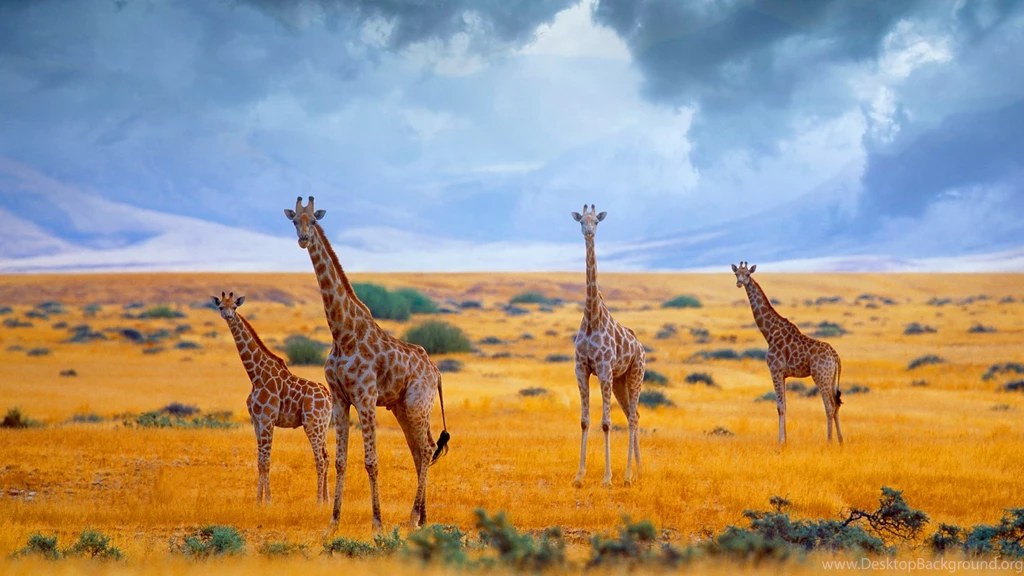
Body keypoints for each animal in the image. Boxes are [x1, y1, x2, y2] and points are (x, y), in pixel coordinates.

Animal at [211, 291, 332, 504]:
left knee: (320, 459)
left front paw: (268, 501)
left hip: (312, 424)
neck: (255, 375)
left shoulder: (268, 419)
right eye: (220, 306)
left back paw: (319, 502)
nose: (228, 315)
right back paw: (326, 501)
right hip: (322, 425)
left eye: (234, 306)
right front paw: (258, 501)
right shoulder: (256, 421)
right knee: (326, 457)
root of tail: (327, 396)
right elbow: (259, 461)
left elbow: (267, 461)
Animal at [284, 196, 450, 531]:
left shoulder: (366, 396)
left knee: (426, 448)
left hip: (417, 403)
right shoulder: (339, 398)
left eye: (313, 220)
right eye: (294, 220)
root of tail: (436, 372)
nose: (303, 239)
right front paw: (333, 523)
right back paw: (423, 518)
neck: (342, 332)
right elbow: (340, 460)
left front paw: (377, 523)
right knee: (420, 450)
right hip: (402, 407)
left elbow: (371, 461)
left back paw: (412, 518)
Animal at [571, 204, 646, 487]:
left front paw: (606, 478)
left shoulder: (603, 370)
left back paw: (626, 476)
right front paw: (579, 476)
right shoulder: (581, 369)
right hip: (621, 381)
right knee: (633, 416)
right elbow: (584, 421)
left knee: (633, 418)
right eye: (581, 220)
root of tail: (642, 348)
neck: (592, 317)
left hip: (635, 375)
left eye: (596, 222)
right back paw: (637, 471)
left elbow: (605, 423)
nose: (588, 232)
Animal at [731, 262, 844, 445]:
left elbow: (780, 406)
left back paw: (829, 441)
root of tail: (836, 357)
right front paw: (785, 441)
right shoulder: (783, 374)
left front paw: (781, 443)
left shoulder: (775, 370)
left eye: (747, 274)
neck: (769, 332)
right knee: (836, 404)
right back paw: (841, 441)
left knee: (829, 406)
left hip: (821, 376)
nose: (739, 283)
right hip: (831, 377)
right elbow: (785, 405)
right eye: (736, 274)